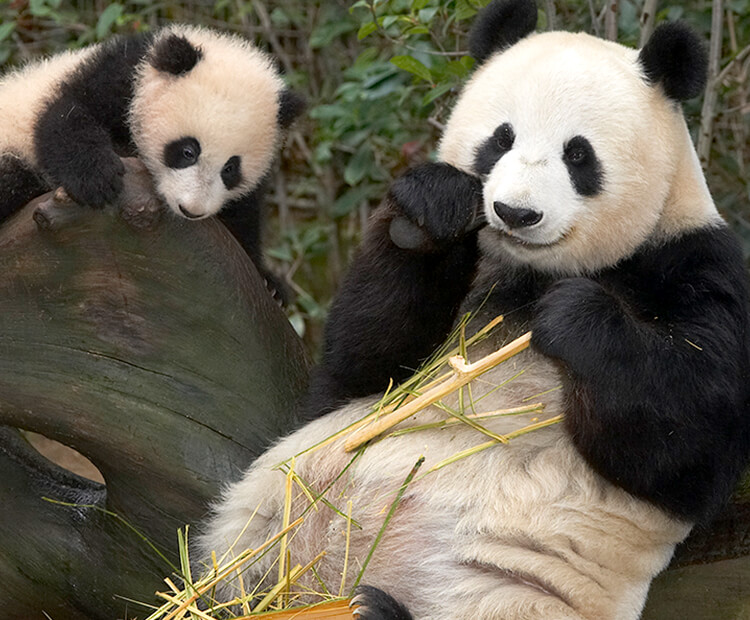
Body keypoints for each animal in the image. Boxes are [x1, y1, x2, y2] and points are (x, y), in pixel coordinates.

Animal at [0, 26, 306, 294]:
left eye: (230, 168)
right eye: (188, 151)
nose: (191, 210)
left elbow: (242, 216)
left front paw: (270, 283)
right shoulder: (113, 78)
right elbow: (65, 117)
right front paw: (98, 178)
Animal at [200, 2, 750, 616]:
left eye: (578, 154)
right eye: (501, 138)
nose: (515, 213)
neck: (533, 270)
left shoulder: (697, 266)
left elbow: (688, 446)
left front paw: (573, 316)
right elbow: (359, 368)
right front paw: (430, 212)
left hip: (509, 585)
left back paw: (377, 606)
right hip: (266, 517)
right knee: (233, 571)